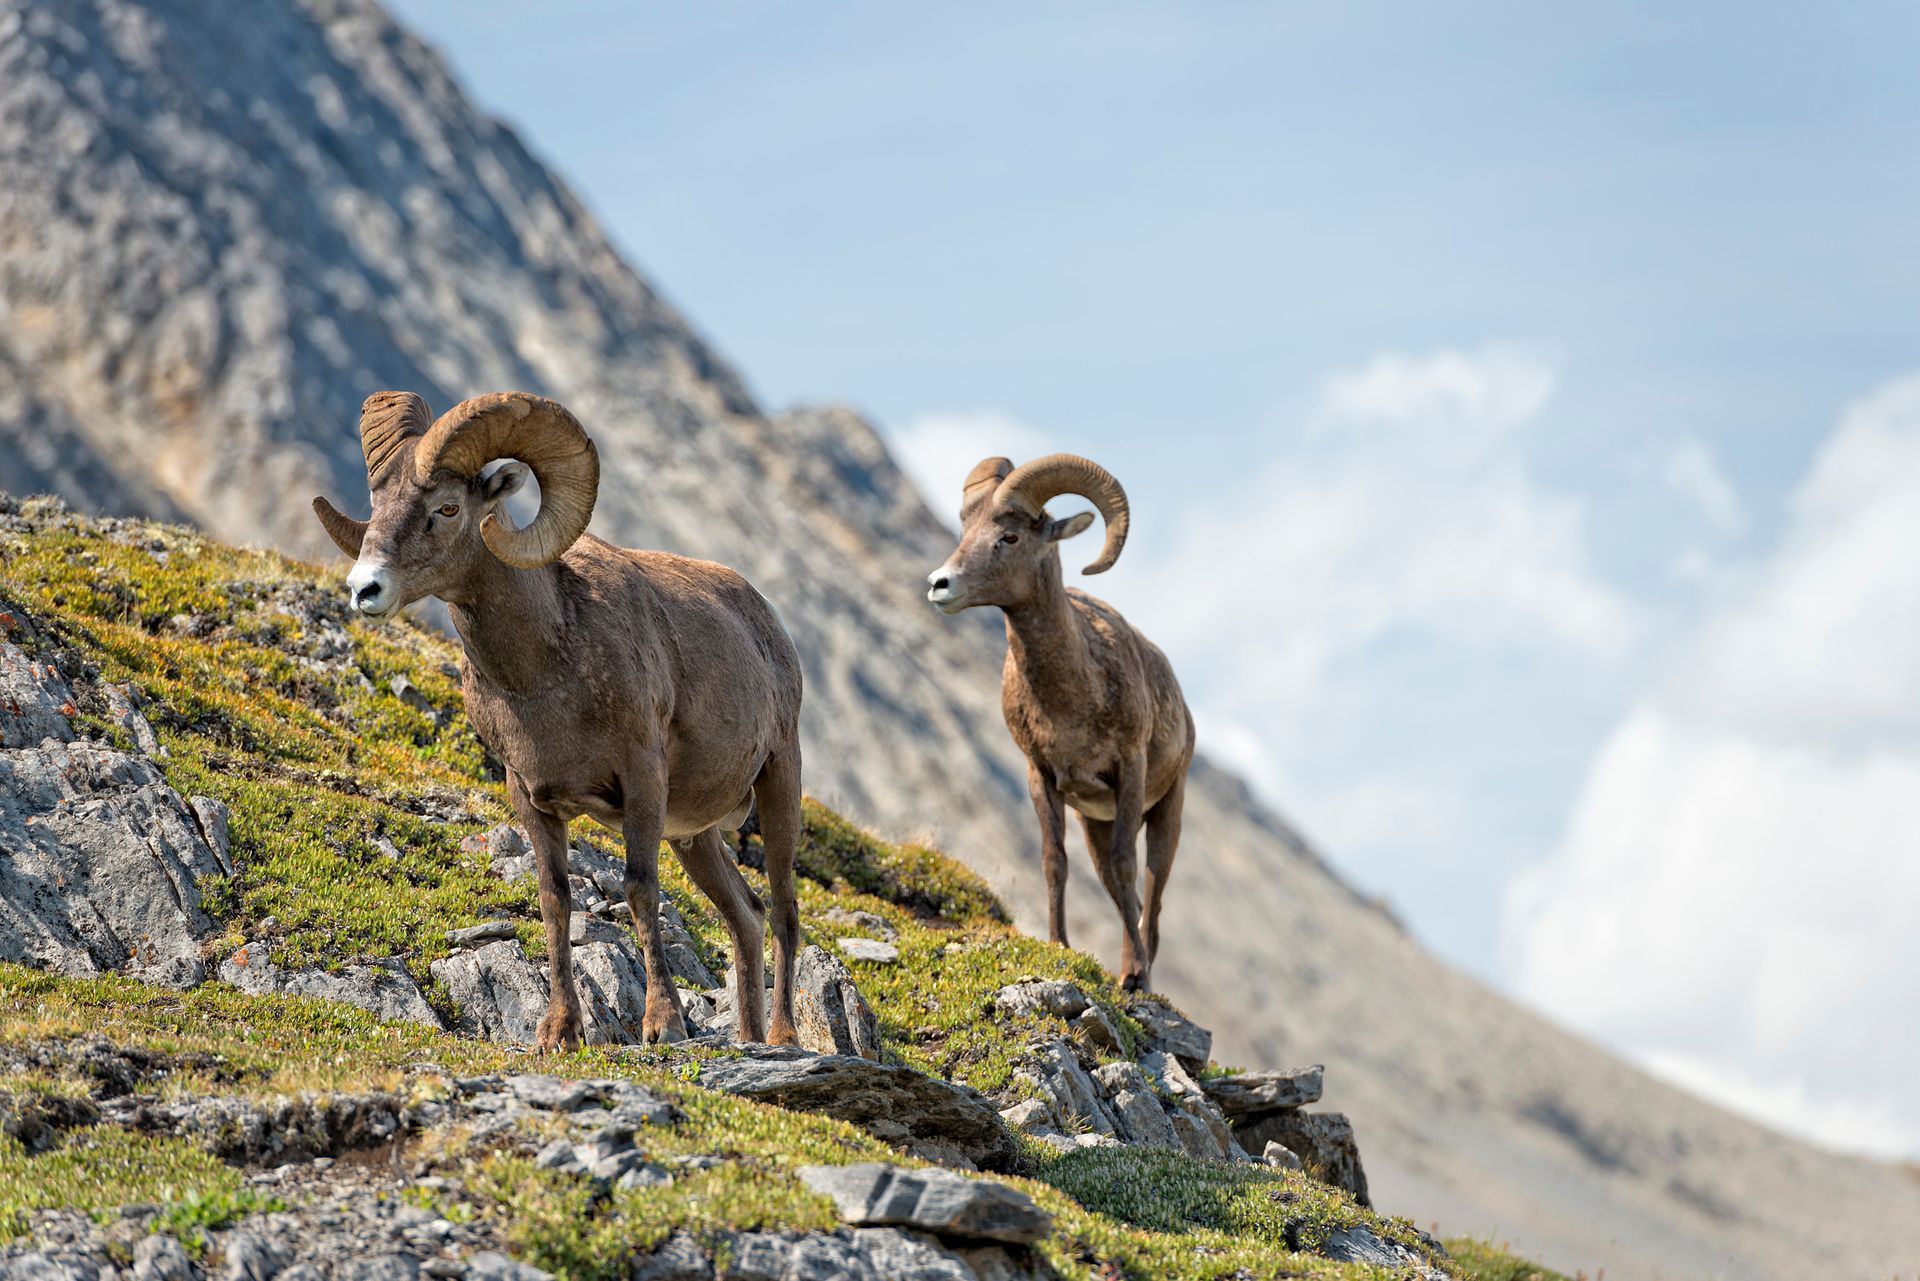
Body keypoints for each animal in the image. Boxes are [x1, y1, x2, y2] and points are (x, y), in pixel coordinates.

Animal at [312, 390, 803, 1052]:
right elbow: (555, 902)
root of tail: (766, 621)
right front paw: (559, 1032)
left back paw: (784, 1039)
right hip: (696, 836)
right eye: (378, 506)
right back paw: (752, 1040)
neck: (546, 672)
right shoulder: (531, 796)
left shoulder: (643, 780)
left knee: (783, 913)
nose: (365, 589)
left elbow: (639, 888)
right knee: (745, 918)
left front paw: (663, 1024)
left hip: (779, 783)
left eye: (447, 508)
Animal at [925, 454, 1195, 992]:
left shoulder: (1129, 771)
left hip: (1166, 809)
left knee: (1151, 890)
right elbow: (1055, 863)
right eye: (967, 528)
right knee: (1119, 889)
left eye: (1009, 536)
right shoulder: (1043, 777)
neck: (1072, 697)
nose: (939, 584)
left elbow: (1128, 866)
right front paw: (1060, 946)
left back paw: (1140, 970)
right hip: (1095, 822)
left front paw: (1134, 976)